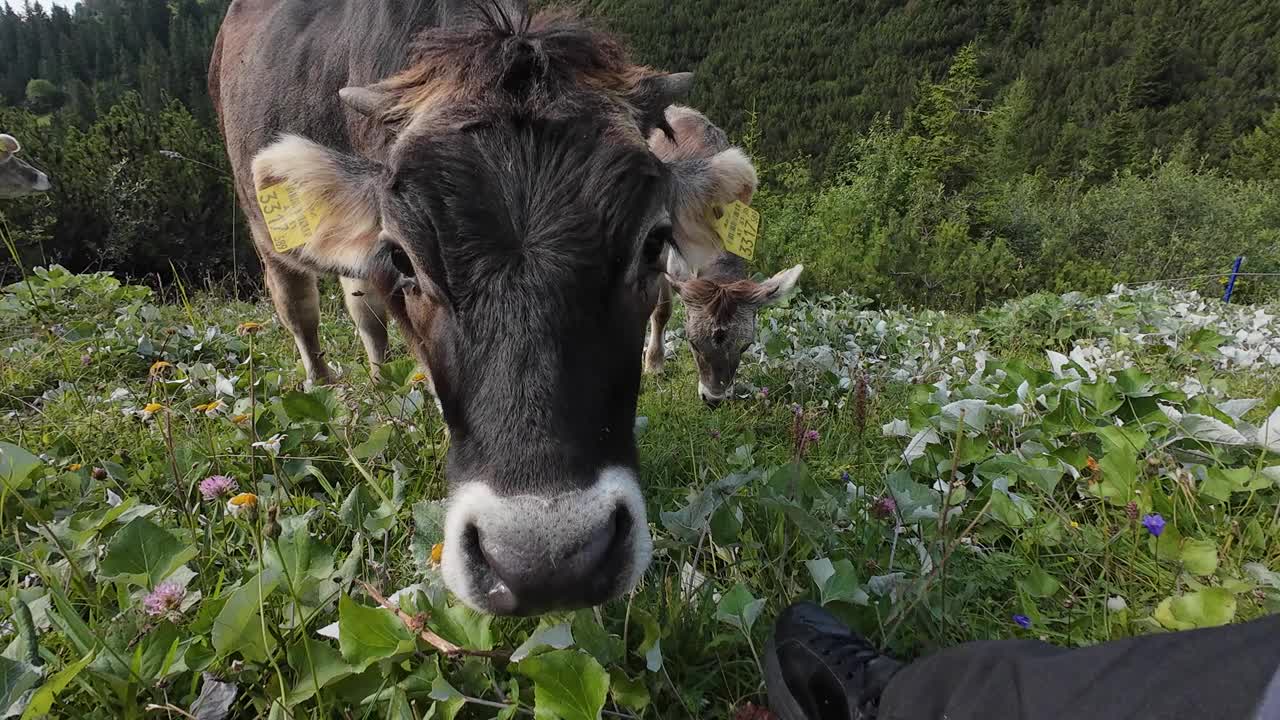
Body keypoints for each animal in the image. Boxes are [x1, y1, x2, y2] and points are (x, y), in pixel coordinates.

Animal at [209, 1, 747, 617]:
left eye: (655, 242)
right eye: (404, 256)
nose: (546, 561)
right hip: (264, 229)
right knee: (300, 307)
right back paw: (324, 387)